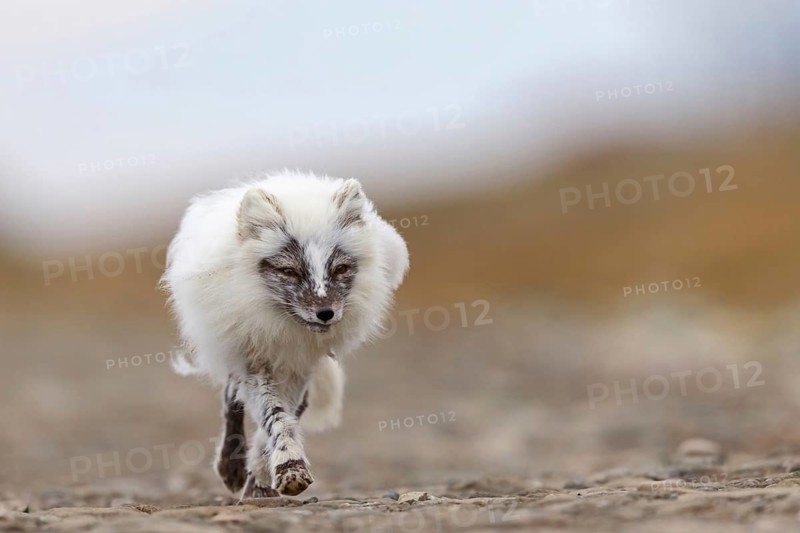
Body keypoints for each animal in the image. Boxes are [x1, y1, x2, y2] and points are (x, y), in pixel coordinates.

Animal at [160, 171, 409, 498]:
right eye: (289, 271)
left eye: (341, 268)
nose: (326, 313)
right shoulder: (256, 362)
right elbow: (275, 415)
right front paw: (285, 466)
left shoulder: (299, 366)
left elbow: (284, 417)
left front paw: (267, 476)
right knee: (231, 401)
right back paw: (231, 467)